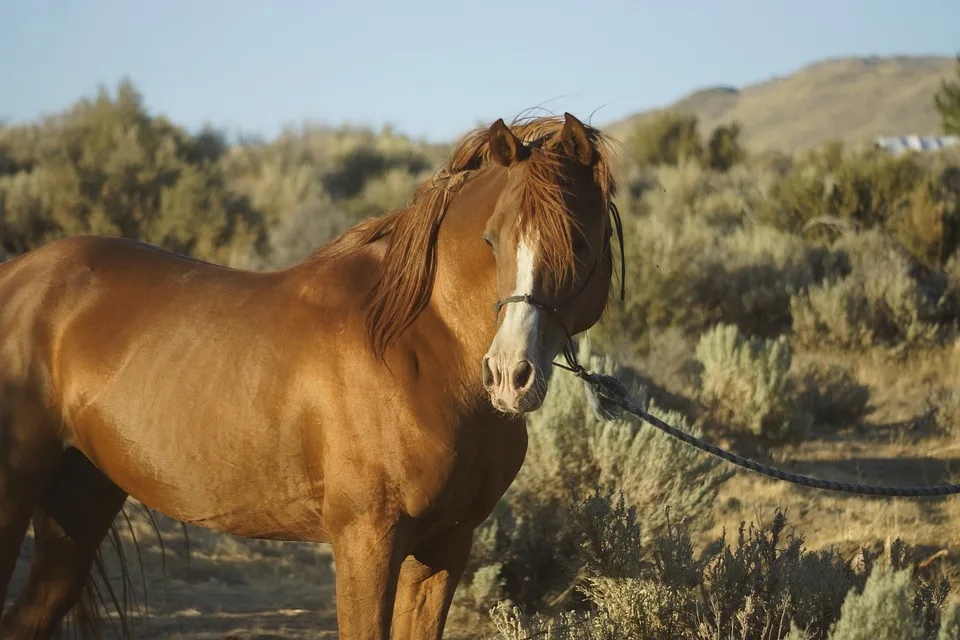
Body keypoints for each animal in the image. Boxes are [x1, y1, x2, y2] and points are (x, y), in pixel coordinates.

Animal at [0, 112, 620, 636]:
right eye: (492, 240)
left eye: (581, 241)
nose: (510, 376)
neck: (419, 349)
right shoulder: (366, 541)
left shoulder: (445, 547)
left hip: (81, 497)